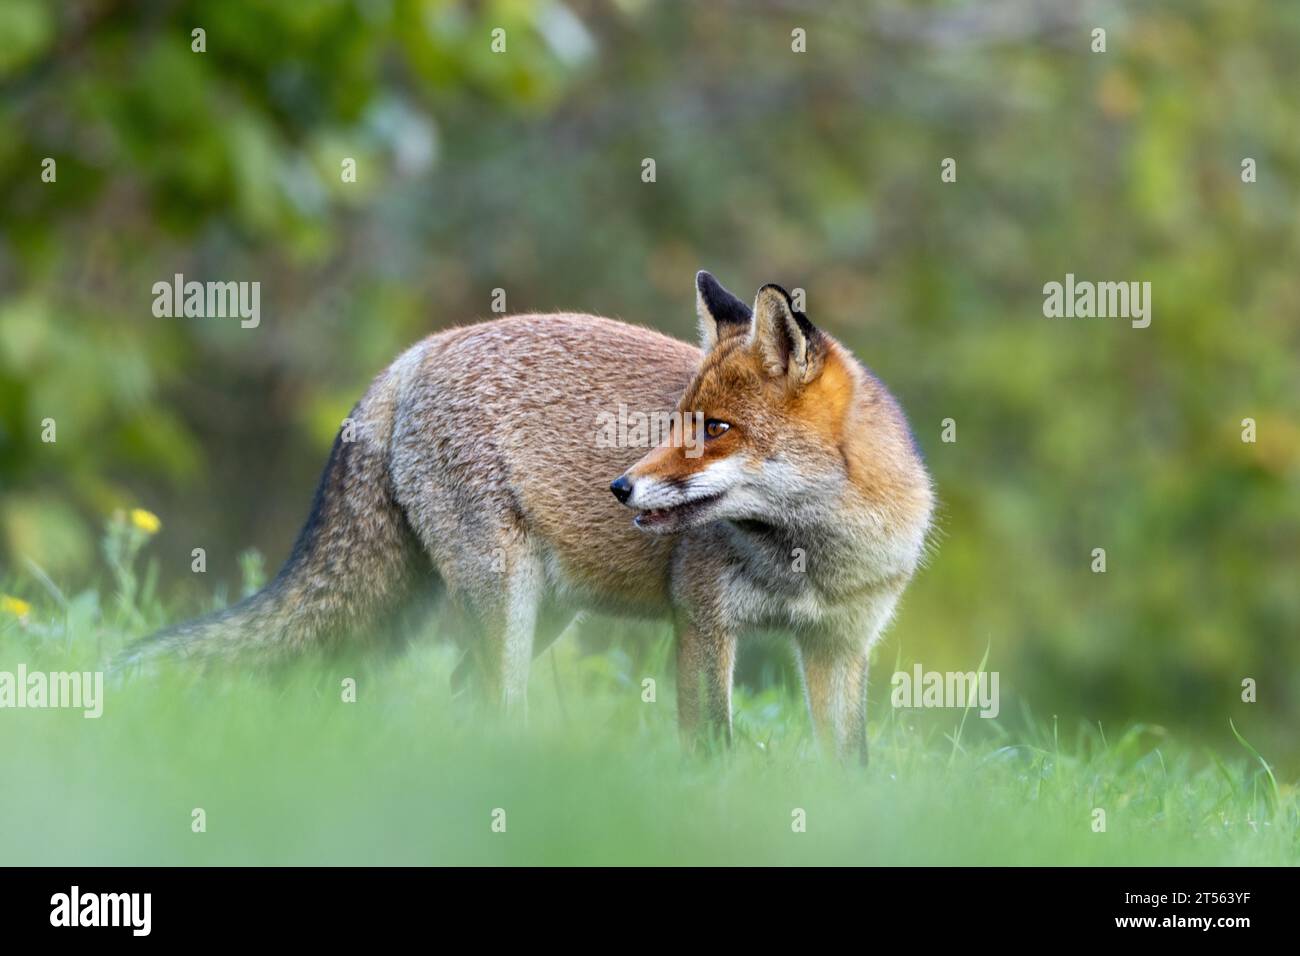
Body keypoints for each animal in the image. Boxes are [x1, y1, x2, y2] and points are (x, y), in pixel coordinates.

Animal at [119, 271, 933, 762]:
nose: (620, 487)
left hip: (545, 615)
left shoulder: (839, 646)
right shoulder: (702, 621)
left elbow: (851, 769)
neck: (812, 558)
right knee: (491, 705)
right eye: (677, 421)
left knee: (458, 695)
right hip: (504, 600)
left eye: (716, 429)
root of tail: (419, 351)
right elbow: (711, 749)